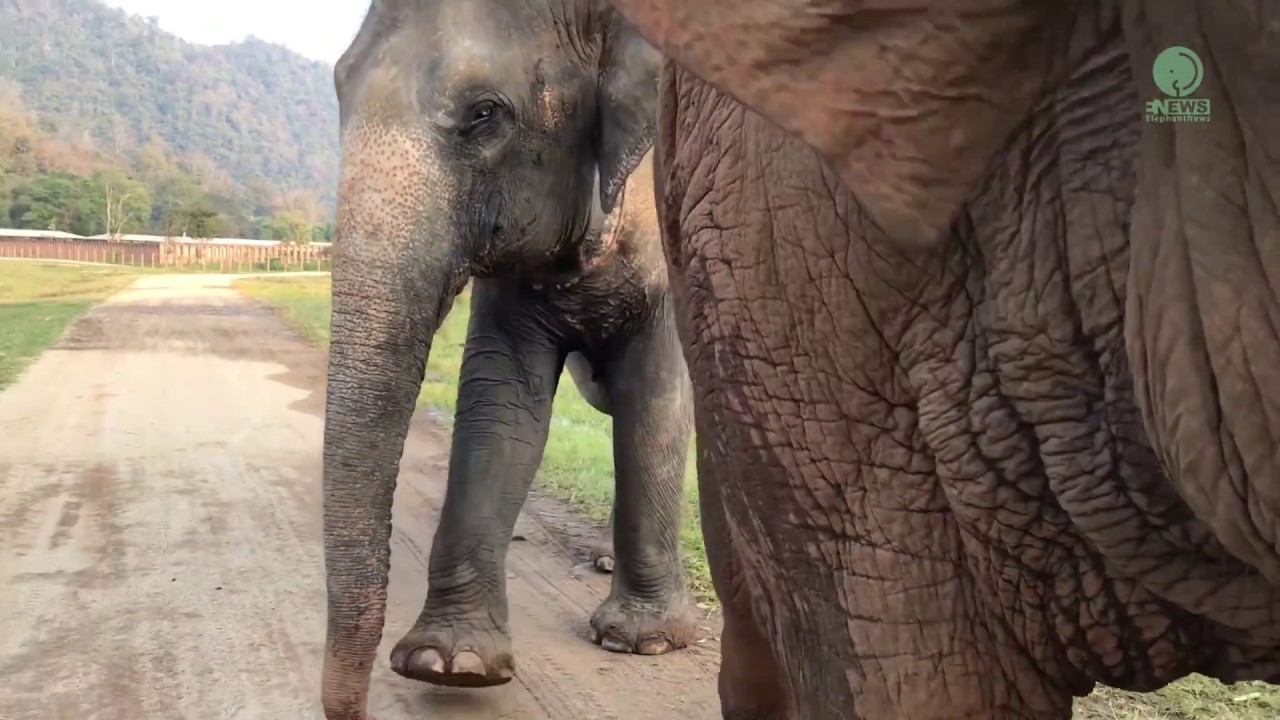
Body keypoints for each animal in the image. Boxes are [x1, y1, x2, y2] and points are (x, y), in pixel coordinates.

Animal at [320, 1, 697, 717]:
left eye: (485, 113)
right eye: (338, 87)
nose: (353, 706)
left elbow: (658, 402)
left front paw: (644, 641)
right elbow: (503, 405)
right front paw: (452, 663)